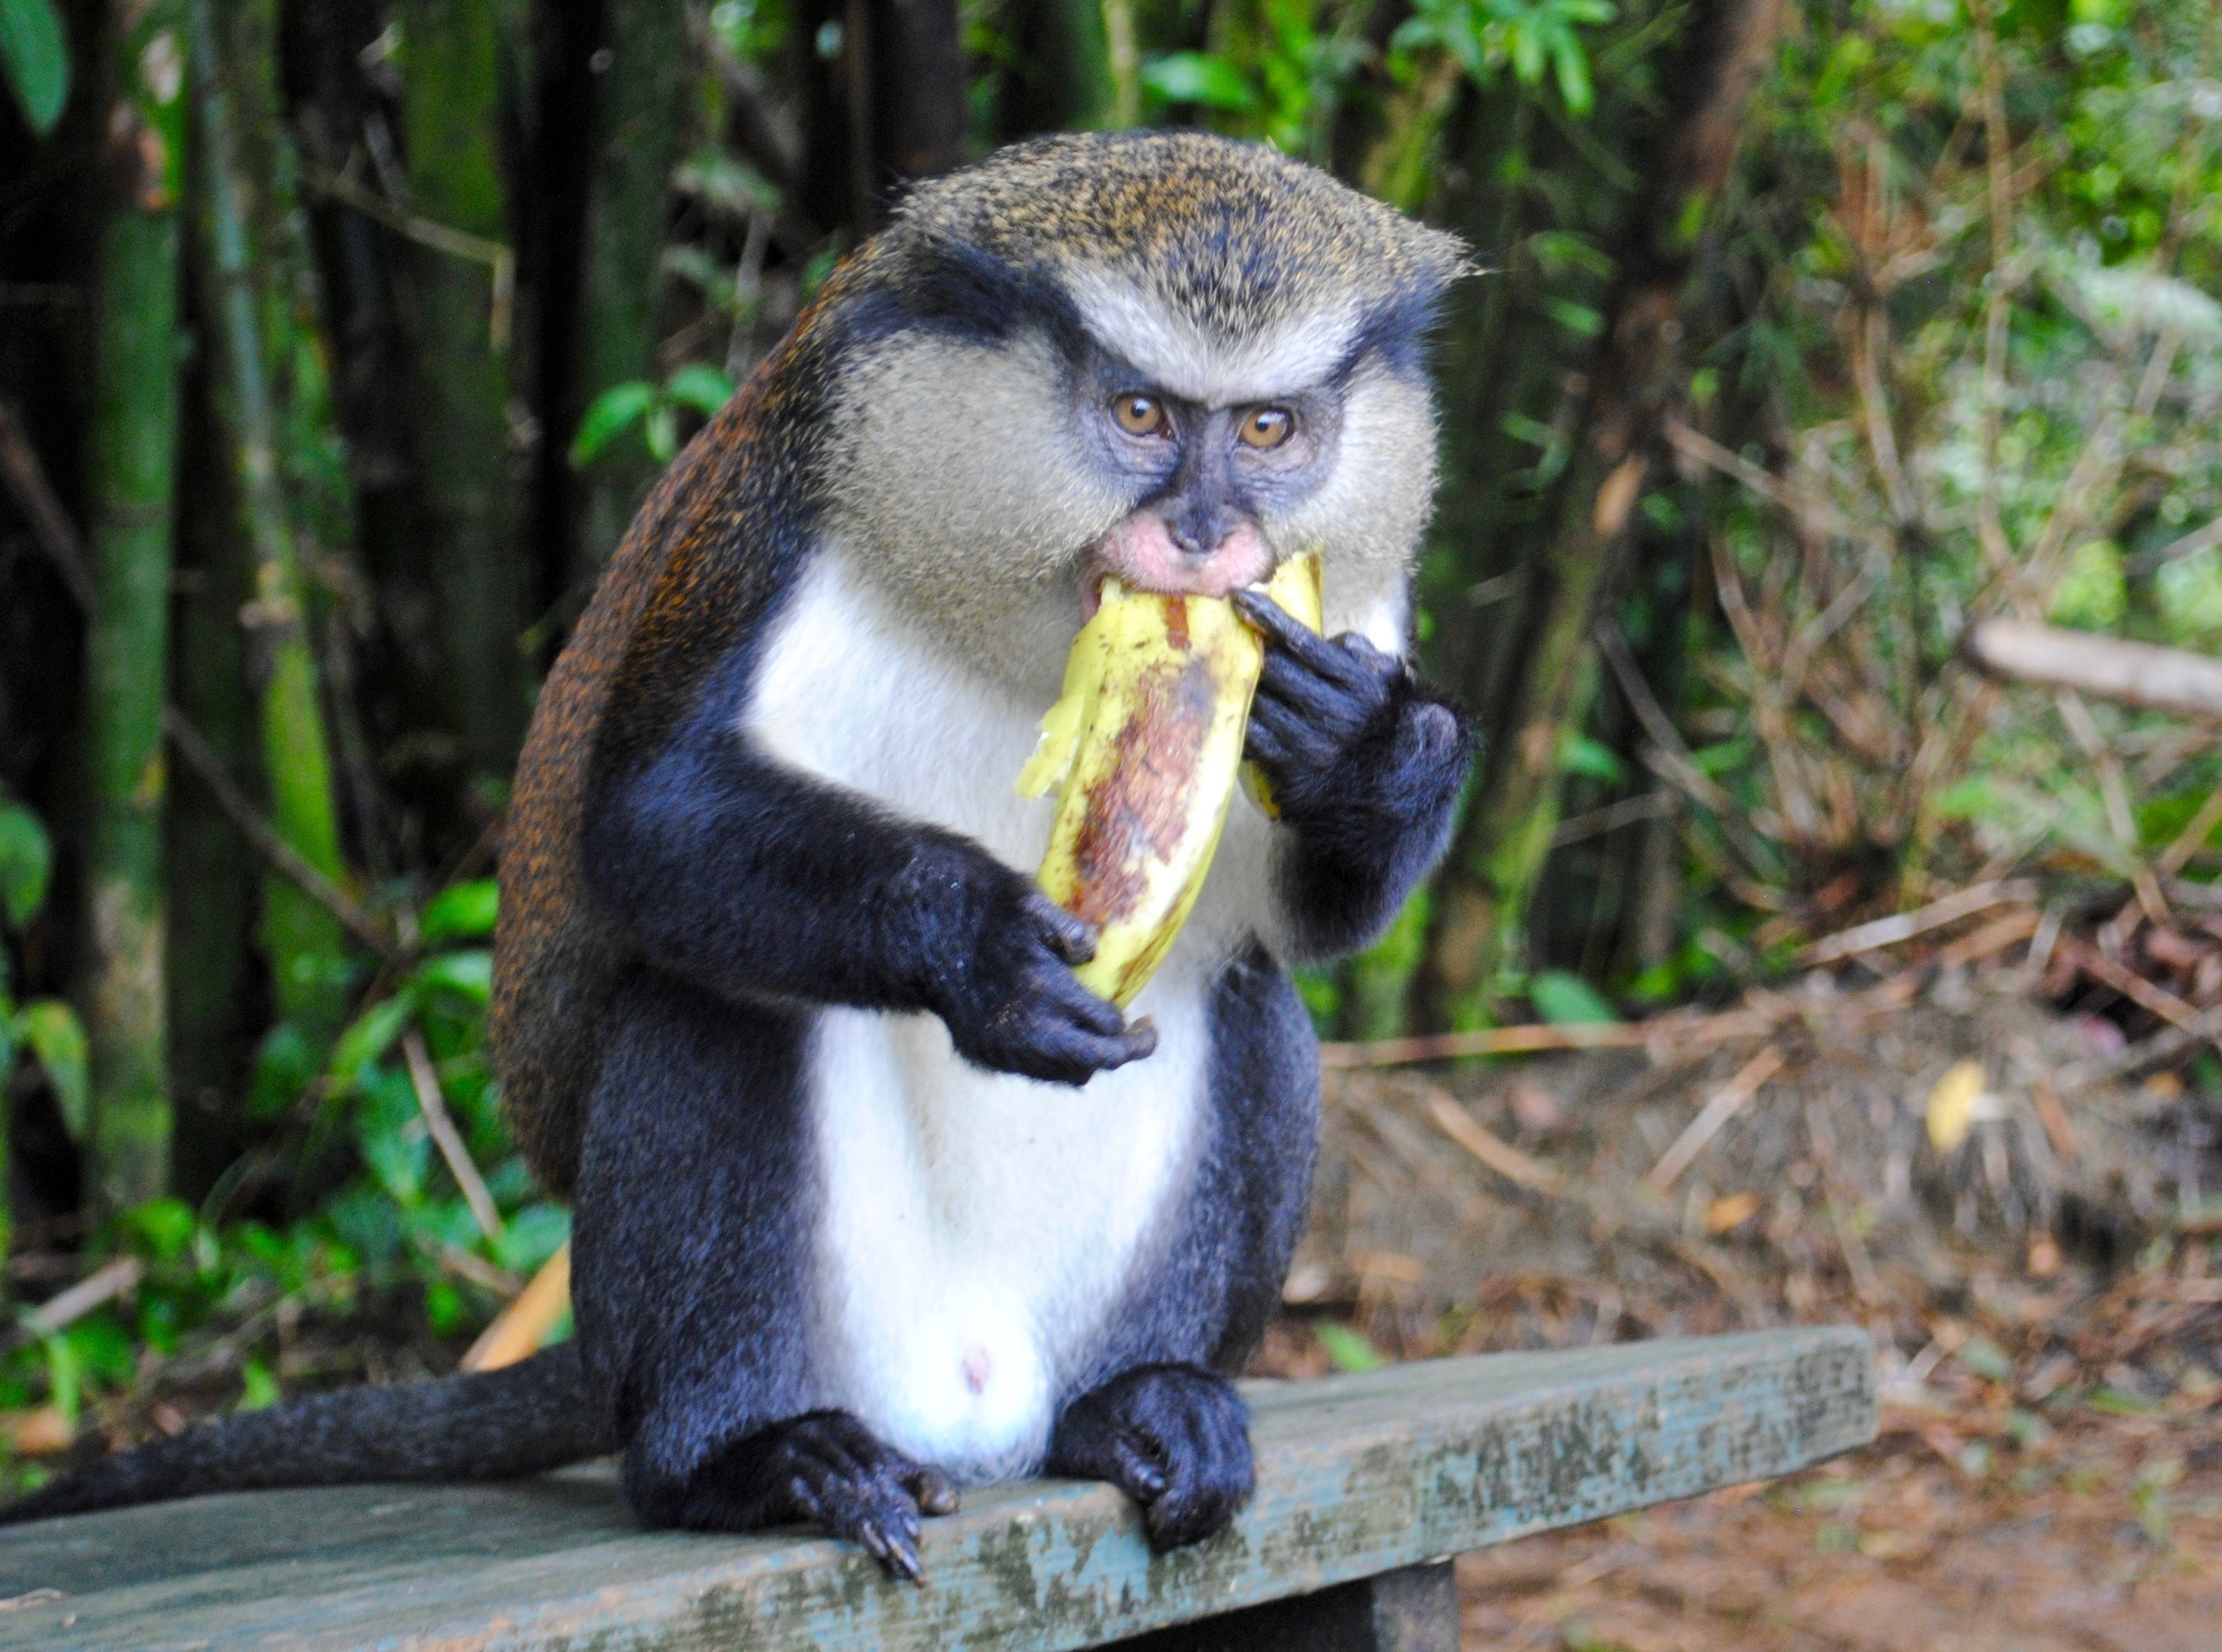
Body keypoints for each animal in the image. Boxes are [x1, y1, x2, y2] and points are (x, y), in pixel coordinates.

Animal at [1, 132, 1471, 1580]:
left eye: (1268, 427)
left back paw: (1136, 1403)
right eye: (1141, 416)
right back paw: (746, 1459)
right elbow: (649, 827)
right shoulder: (779, 528)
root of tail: (977, 1400)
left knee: (1252, 997)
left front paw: (1363, 755)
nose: (1207, 534)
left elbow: (1310, 925)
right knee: (711, 998)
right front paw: (977, 949)